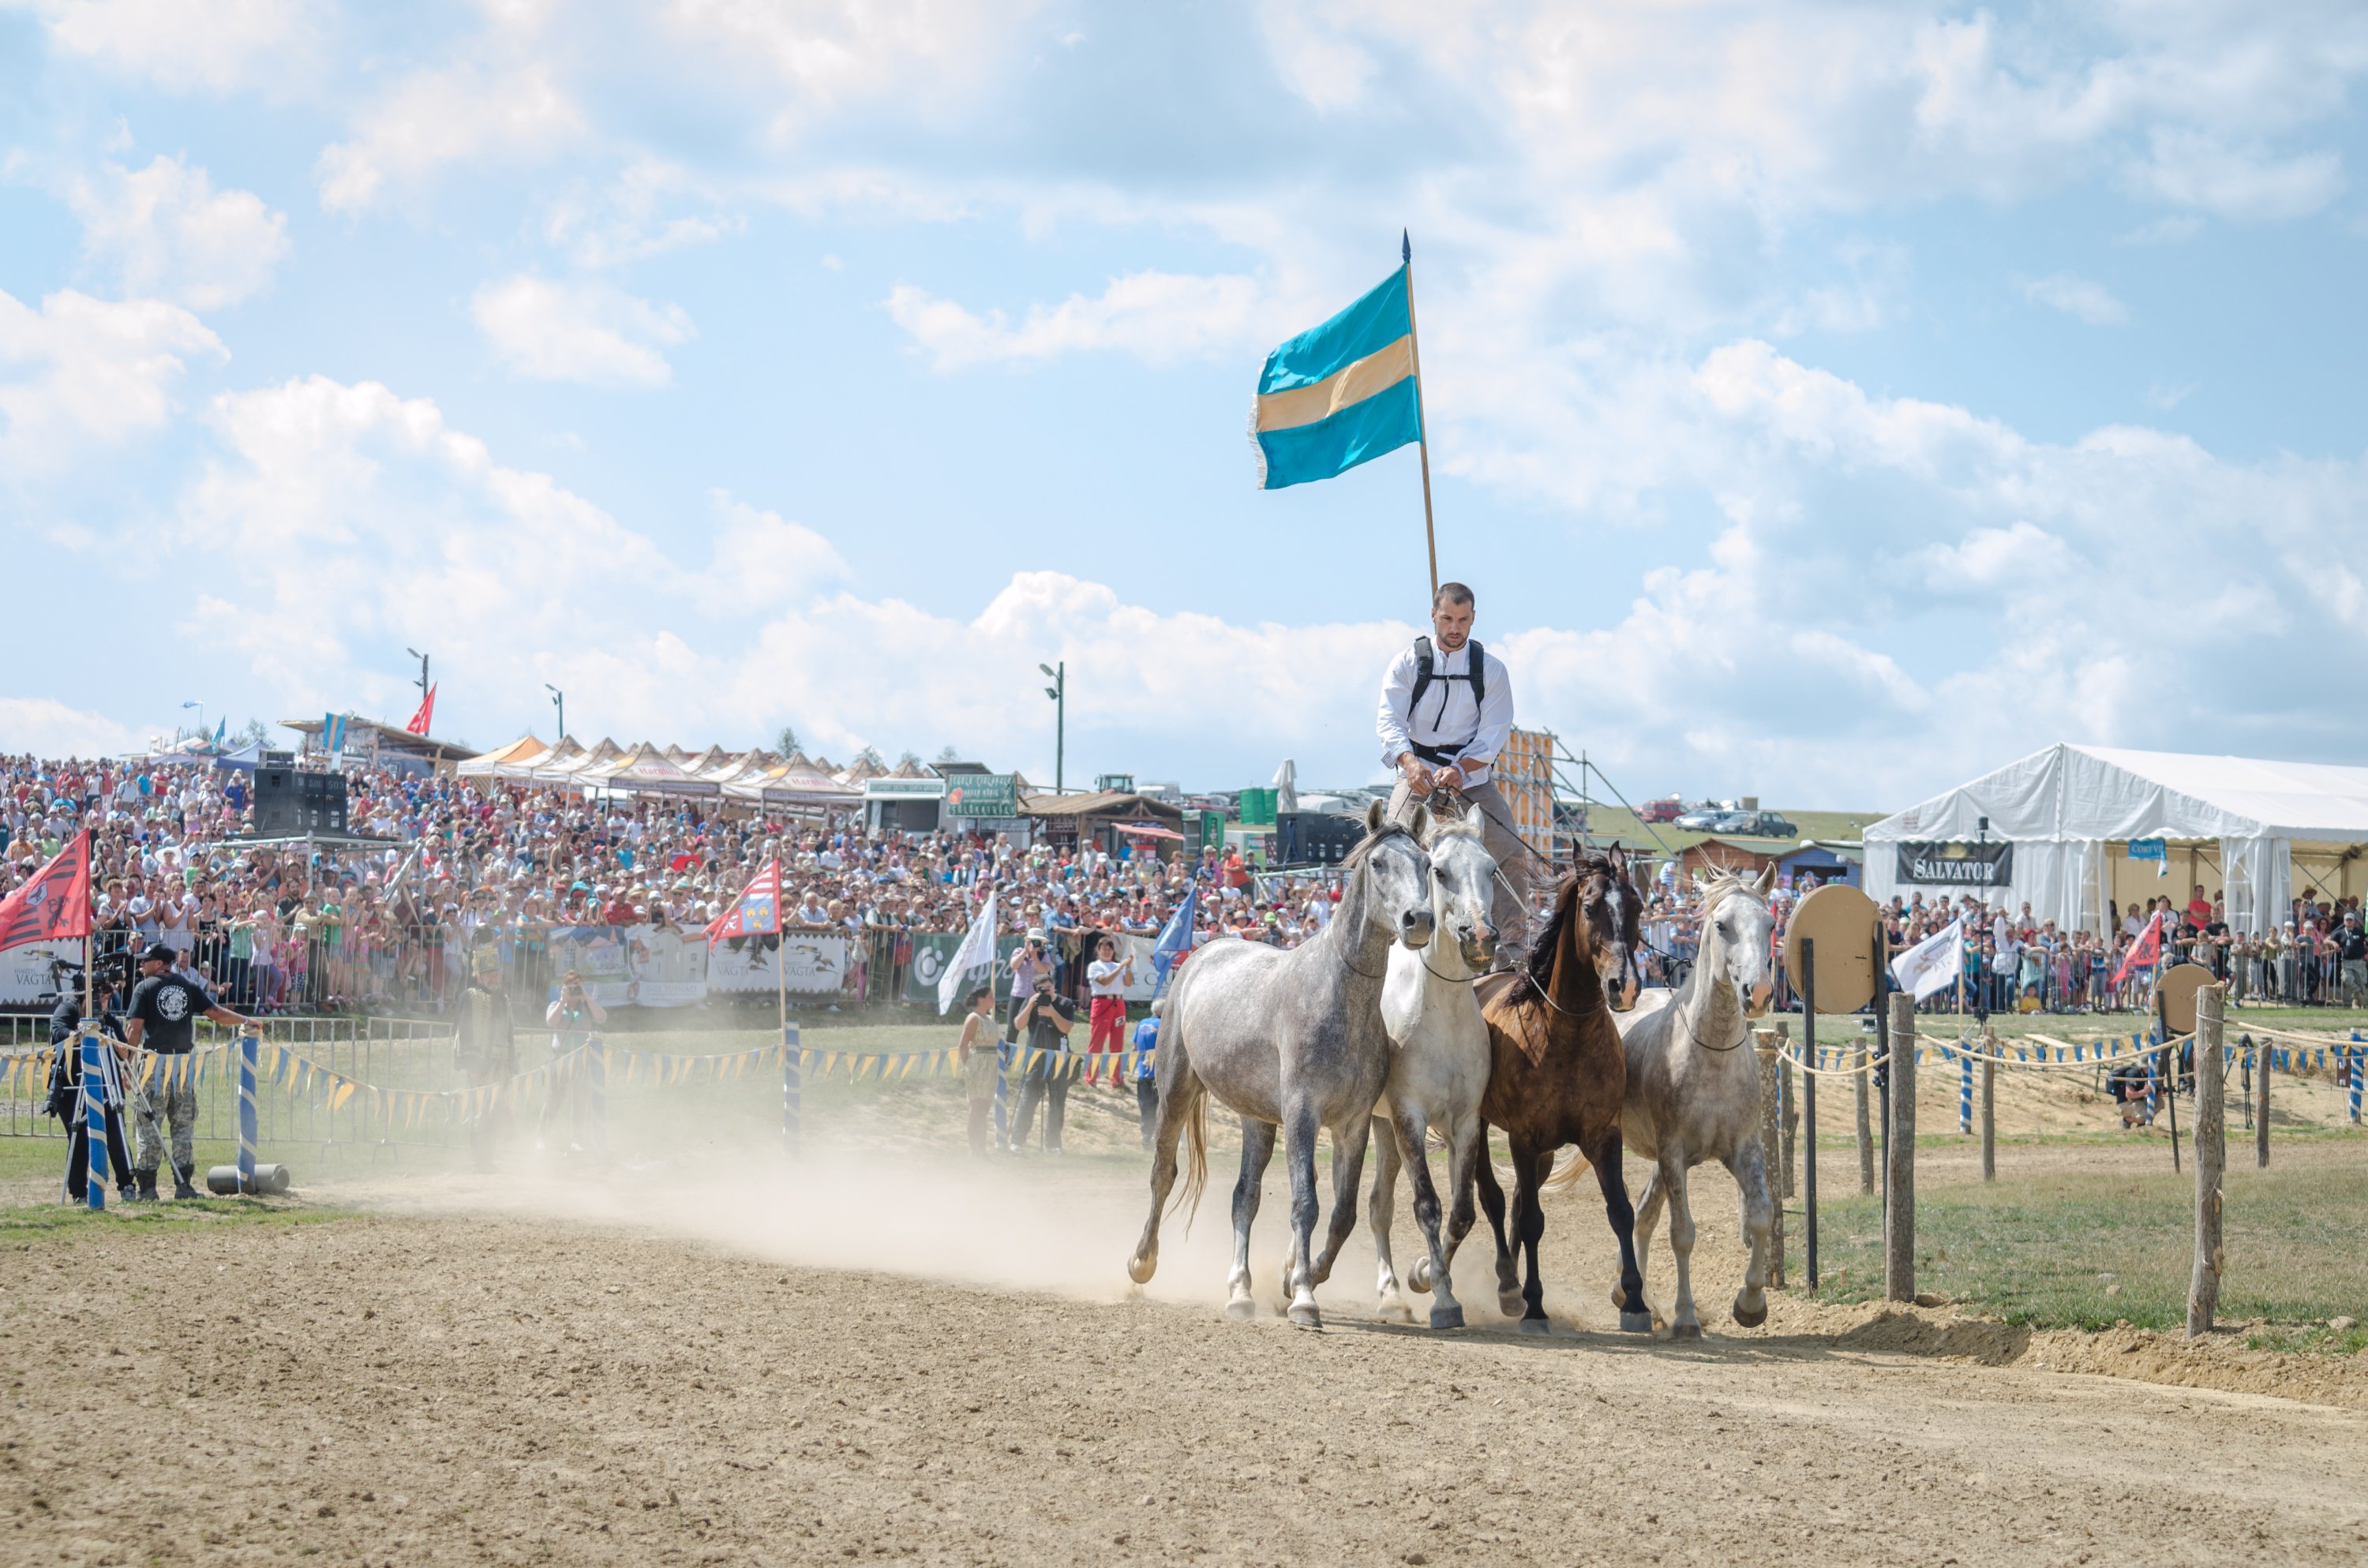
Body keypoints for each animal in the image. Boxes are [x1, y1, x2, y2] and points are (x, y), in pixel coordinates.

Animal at [1132, 805, 1440, 1335]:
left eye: (1426, 863)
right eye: (1378, 862)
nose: (1418, 919)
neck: (1336, 997)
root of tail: (1202, 955)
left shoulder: (1353, 1124)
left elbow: (1342, 1213)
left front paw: (1300, 1278)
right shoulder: (1301, 1114)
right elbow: (1305, 1204)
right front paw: (1303, 1299)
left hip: (1257, 1120)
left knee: (1244, 1198)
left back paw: (1240, 1290)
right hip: (1175, 1092)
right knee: (1163, 1173)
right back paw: (1143, 1262)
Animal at [1449, 852, 1639, 1335]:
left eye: (1637, 905)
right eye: (1589, 908)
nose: (1624, 986)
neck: (1565, 1034)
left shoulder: (1603, 1136)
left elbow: (1620, 1210)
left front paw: (1635, 1301)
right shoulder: (1523, 1138)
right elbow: (1531, 1220)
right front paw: (1534, 1305)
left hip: (1547, 1151)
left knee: (1517, 1198)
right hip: (1480, 1126)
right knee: (1496, 1200)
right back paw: (1508, 1284)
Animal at [1553, 871, 1781, 1335]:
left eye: (1769, 924)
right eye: (1722, 925)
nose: (1760, 992)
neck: (1711, 1056)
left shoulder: (1744, 1148)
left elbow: (1761, 1215)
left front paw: (1750, 1305)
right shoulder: (1674, 1153)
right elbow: (1683, 1233)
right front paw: (1686, 1316)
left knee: (1641, 1213)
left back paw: (1630, 1295)